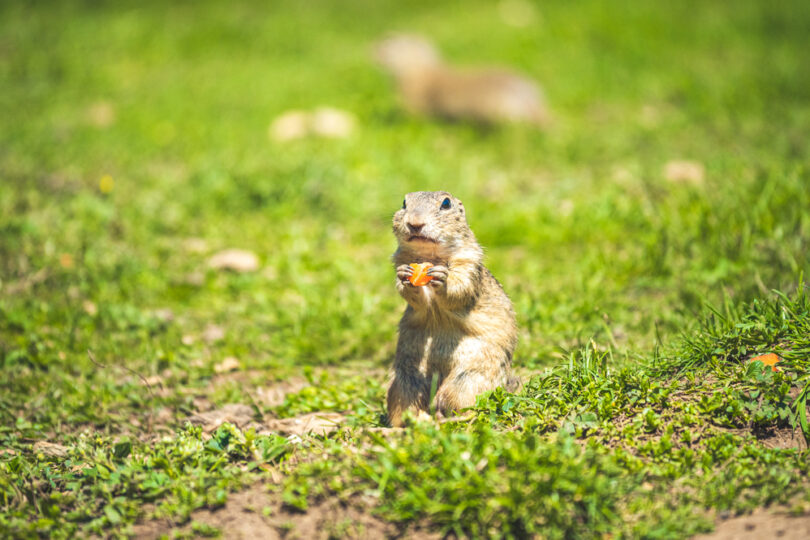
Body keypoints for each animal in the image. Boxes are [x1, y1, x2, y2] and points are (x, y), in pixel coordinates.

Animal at [386, 191, 516, 426]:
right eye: (404, 203)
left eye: (446, 204)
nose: (415, 223)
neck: (430, 257)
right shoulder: (401, 259)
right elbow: (411, 295)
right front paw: (405, 276)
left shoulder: (468, 262)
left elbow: (460, 288)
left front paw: (443, 279)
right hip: (405, 379)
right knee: (405, 409)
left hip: (468, 379)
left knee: (464, 407)